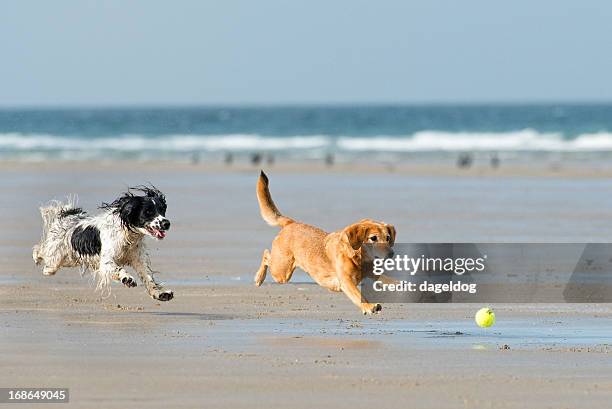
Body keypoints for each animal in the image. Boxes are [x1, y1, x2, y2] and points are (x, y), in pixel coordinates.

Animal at [33, 185, 173, 300]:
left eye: (162, 210)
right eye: (148, 212)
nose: (166, 223)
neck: (128, 237)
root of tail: (67, 215)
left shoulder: (138, 260)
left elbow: (148, 278)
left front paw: (160, 293)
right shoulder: (106, 261)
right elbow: (118, 268)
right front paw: (127, 278)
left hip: (69, 259)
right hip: (54, 258)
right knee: (41, 252)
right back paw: (36, 258)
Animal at [253, 171, 396, 314]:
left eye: (388, 238)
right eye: (373, 238)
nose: (391, 254)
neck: (358, 257)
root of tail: (290, 223)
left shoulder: (374, 274)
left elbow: (392, 281)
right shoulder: (346, 281)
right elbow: (358, 295)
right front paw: (369, 306)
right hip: (281, 271)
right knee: (266, 255)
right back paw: (259, 277)